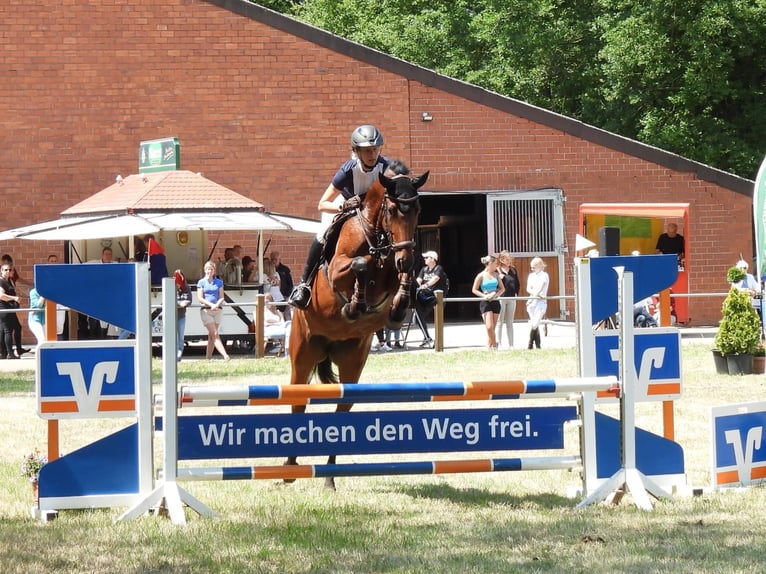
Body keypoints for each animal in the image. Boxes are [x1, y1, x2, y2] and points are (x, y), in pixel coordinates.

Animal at [290, 169, 432, 488]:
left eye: (418, 209)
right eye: (391, 210)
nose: (403, 256)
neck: (377, 237)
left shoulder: (395, 268)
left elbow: (404, 277)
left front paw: (399, 306)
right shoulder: (338, 269)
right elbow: (359, 265)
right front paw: (354, 305)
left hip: (352, 362)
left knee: (342, 412)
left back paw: (329, 478)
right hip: (302, 354)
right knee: (298, 402)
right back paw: (287, 469)